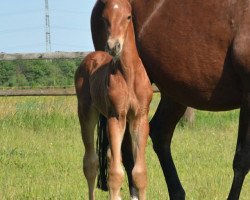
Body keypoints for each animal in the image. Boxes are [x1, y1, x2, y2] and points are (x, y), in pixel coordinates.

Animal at [74, 0, 152, 199]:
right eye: (104, 17)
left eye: (128, 16)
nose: (113, 46)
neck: (129, 74)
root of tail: (92, 56)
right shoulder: (116, 117)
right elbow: (116, 174)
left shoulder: (139, 117)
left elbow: (139, 173)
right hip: (86, 114)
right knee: (91, 163)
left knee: (109, 158)